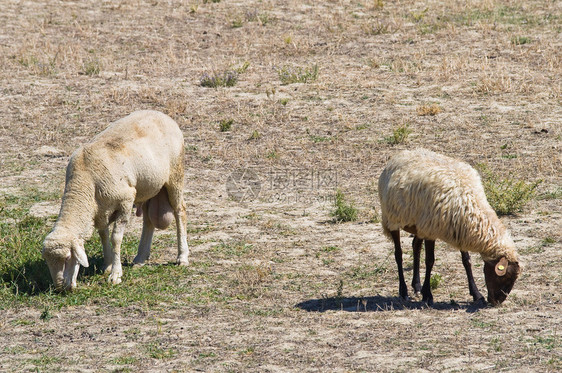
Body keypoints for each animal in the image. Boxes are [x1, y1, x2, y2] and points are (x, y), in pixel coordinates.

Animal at [42, 109, 190, 290]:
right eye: (48, 262)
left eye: (68, 258)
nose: (60, 288)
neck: (85, 180)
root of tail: (161, 114)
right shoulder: (99, 210)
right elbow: (103, 235)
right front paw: (107, 265)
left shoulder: (125, 200)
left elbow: (115, 238)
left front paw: (116, 274)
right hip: (148, 186)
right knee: (148, 220)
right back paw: (140, 258)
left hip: (175, 174)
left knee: (180, 211)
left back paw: (182, 257)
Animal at [378, 148, 520, 306]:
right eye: (505, 277)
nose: (496, 301)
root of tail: (401, 154)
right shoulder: (431, 230)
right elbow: (430, 261)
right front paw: (428, 296)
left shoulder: (460, 230)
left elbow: (467, 261)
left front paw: (476, 294)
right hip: (392, 220)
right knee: (399, 254)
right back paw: (404, 292)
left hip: (418, 225)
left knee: (415, 247)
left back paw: (417, 286)